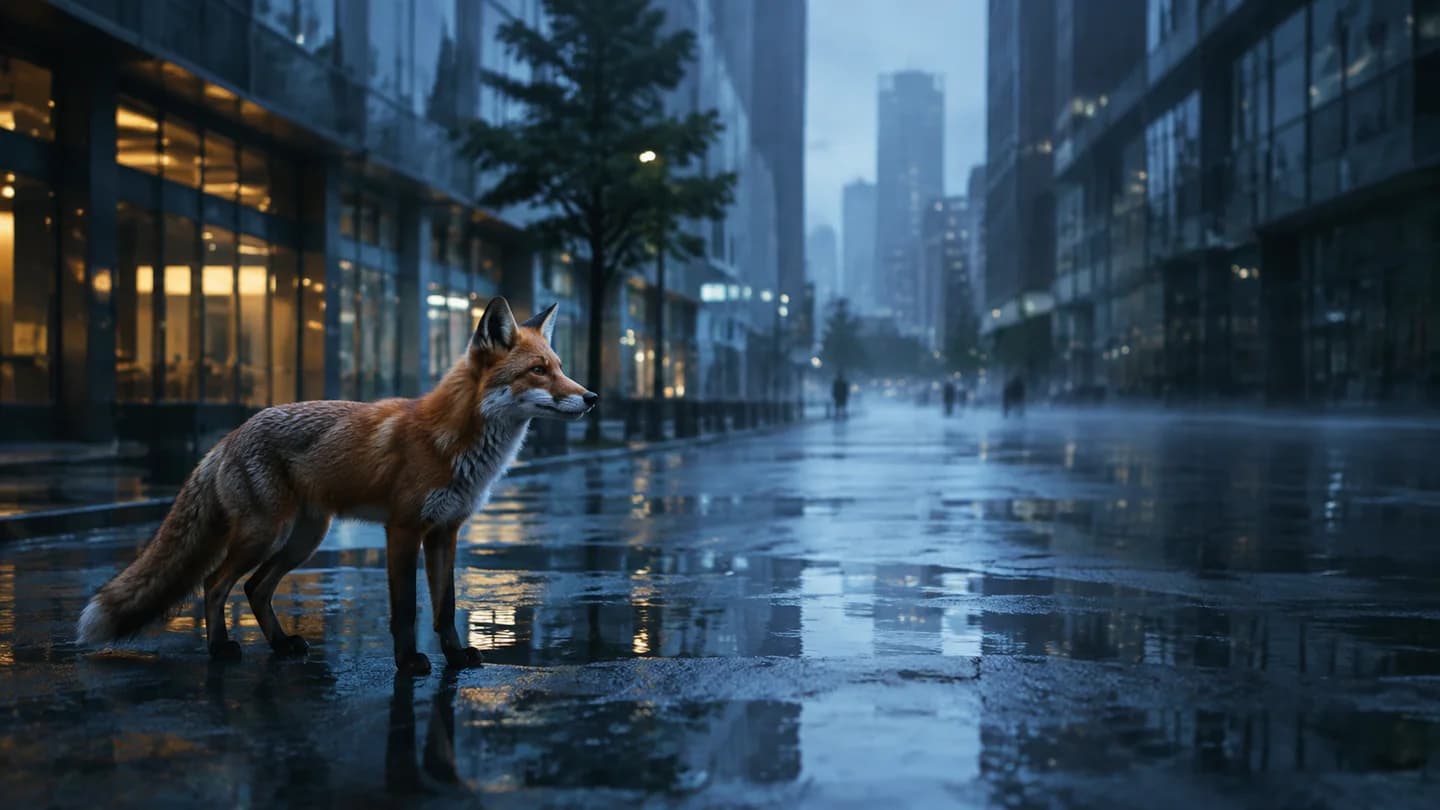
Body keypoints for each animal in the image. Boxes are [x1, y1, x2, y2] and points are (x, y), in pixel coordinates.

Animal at [76, 297, 596, 675]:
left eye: (559, 365)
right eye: (538, 371)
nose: (591, 397)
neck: (453, 440)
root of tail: (229, 435)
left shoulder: (446, 532)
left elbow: (445, 607)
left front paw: (455, 657)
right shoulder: (403, 530)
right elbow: (406, 609)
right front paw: (408, 662)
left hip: (305, 539)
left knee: (256, 588)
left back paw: (282, 645)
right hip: (265, 534)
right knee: (215, 582)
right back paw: (221, 648)